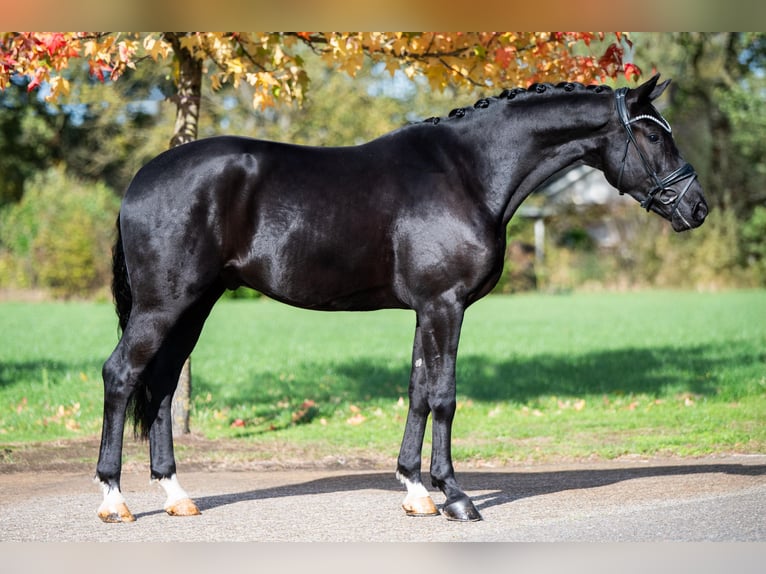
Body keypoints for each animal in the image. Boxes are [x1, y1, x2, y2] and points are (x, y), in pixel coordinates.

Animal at [96, 74, 708, 523]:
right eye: (655, 136)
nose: (696, 207)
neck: (467, 173)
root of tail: (140, 180)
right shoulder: (446, 305)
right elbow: (444, 396)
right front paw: (455, 496)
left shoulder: (425, 310)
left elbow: (416, 392)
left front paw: (415, 490)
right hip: (164, 305)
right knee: (121, 374)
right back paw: (114, 499)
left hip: (194, 304)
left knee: (163, 382)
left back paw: (176, 496)